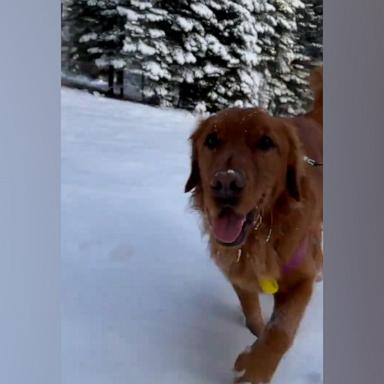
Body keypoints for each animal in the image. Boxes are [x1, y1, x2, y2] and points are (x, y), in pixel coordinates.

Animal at [184, 67, 322, 382]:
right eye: (212, 140)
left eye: (266, 143)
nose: (225, 184)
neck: (260, 239)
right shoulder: (238, 275)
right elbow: (252, 314)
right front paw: (255, 337)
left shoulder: (302, 278)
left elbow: (281, 331)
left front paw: (254, 368)